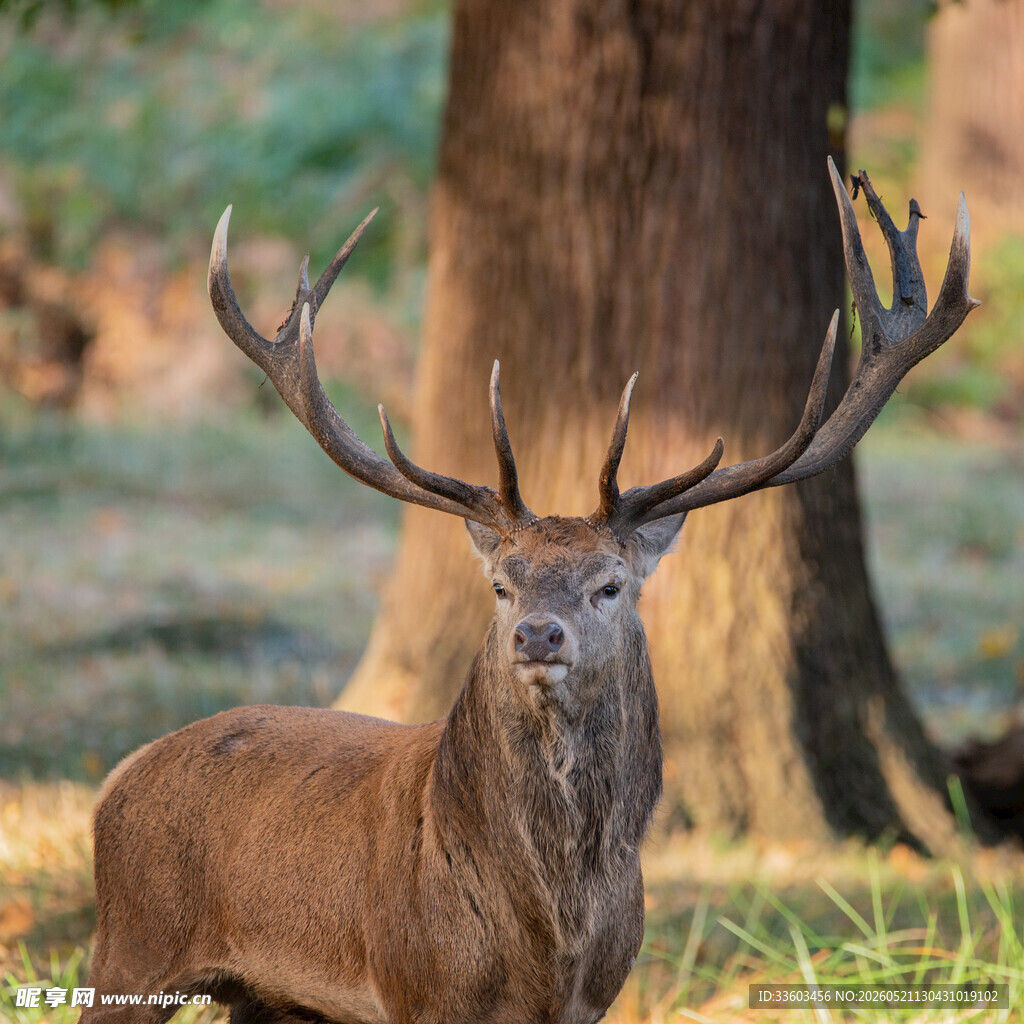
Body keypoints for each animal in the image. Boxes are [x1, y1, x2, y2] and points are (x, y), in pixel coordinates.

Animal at [83, 159, 977, 1024]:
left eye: (610, 584)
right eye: (501, 586)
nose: (539, 635)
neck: (549, 943)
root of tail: (113, 783)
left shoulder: (595, 999)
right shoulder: (415, 987)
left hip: (271, 999)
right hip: (132, 947)